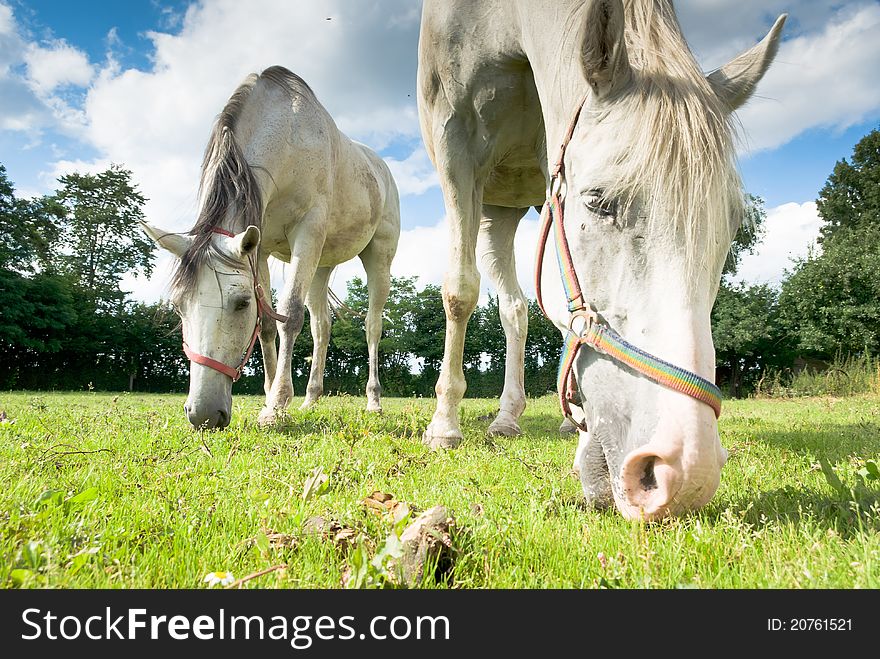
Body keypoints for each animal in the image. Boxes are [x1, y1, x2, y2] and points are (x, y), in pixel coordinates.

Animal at [145, 65, 402, 428]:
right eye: (179, 306)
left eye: (240, 304)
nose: (203, 414)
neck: (288, 137)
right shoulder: (260, 248)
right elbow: (268, 323)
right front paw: (270, 395)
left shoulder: (307, 232)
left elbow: (289, 315)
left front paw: (276, 404)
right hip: (320, 266)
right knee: (321, 327)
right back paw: (310, 399)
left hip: (378, 258)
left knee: (372, 326)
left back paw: (373, 401)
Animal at [418, 1, 784, 520]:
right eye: (599, 202)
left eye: (731, 225)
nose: (685, 472)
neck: (501, 20)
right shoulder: (455, 143)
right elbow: (459, 291)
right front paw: (444, 425)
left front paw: (581, 439)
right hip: (491, 208)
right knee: (508, 304)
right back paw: (505, 418)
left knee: (520, 308)